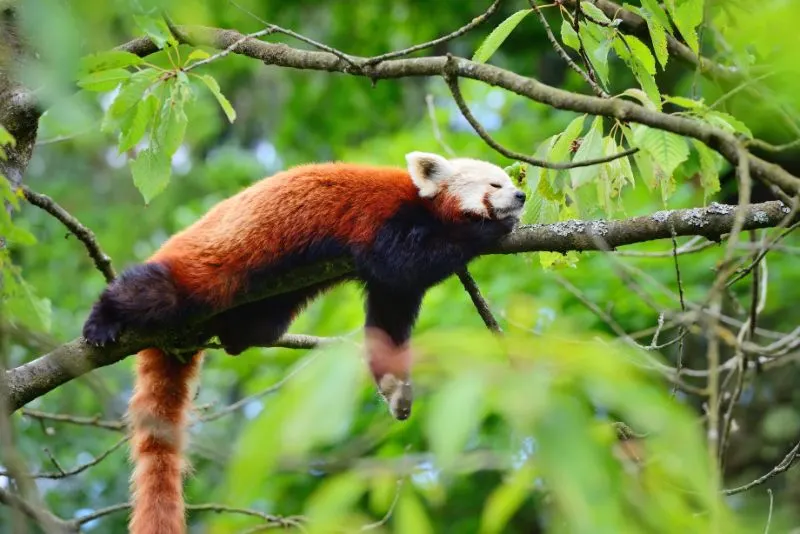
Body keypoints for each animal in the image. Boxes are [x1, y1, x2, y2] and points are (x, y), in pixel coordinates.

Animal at [79, 150, 524, 534]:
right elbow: (404, 263)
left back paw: (234, 338)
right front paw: (487, 230)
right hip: (198, 272)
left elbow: (390, 312)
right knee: (150, 290)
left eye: (509, 182)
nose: (521, 196)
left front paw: (395, 387)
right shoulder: (383, 219)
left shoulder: (391, 285)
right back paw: (103, 321)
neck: (424, 204)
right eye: (495, 184)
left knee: (255, 328)